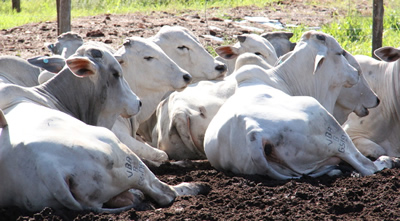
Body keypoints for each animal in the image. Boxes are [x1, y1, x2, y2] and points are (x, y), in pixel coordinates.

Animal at [205, 31, 398, 179]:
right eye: (339, 53)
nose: (355, 73)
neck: (284, 79)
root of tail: (253, 133)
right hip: (331, 128)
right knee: (366, 166)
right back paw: (388, 160)